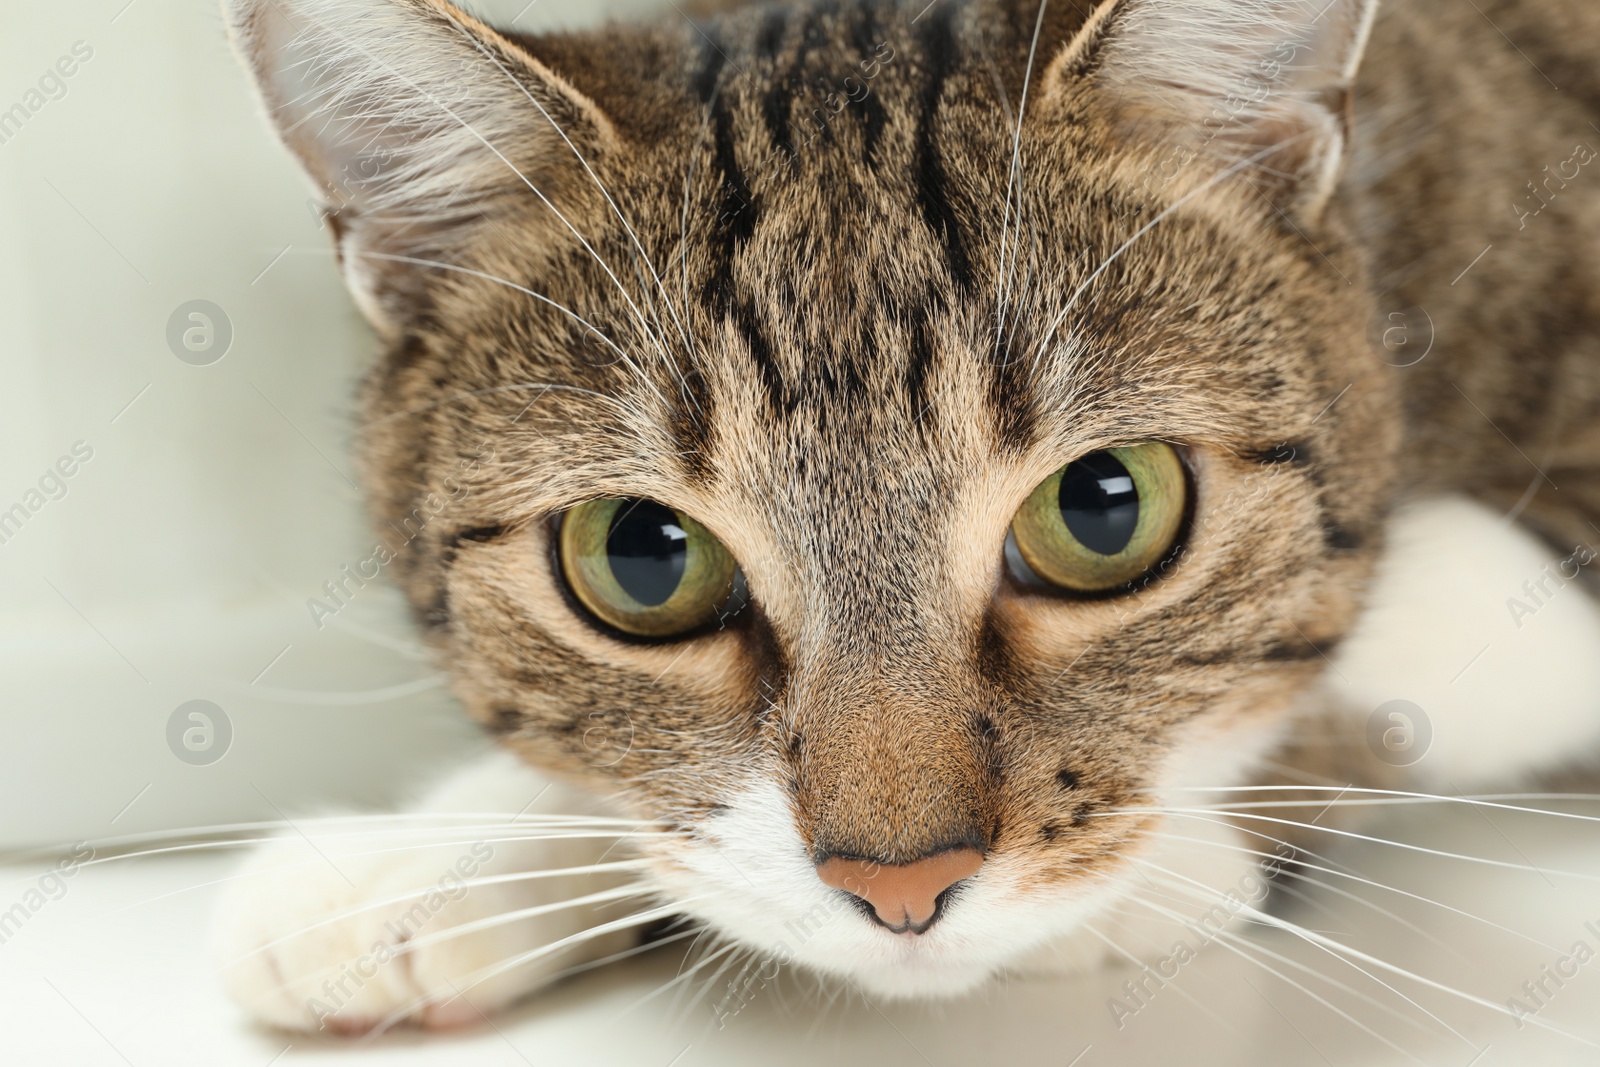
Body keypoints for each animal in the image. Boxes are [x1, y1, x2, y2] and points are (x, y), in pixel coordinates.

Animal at [212, 0, 1600, 1036]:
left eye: (1104, 510)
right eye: (641, 559)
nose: (900, 887)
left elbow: (1405, 623)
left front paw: (1175, 854)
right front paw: (439, 852)